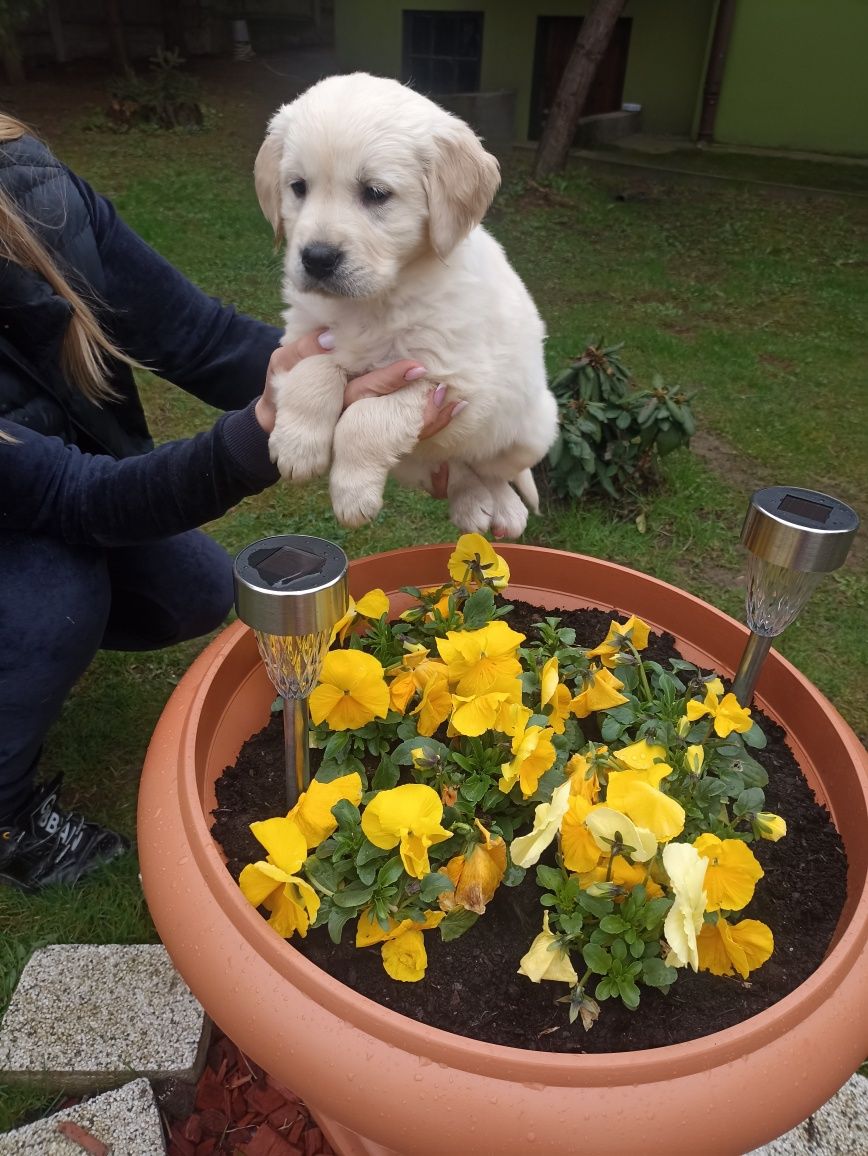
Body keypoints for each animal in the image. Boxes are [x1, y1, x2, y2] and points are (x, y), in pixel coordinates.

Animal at [254, 71, 559, 536]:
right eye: (298, 188)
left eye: (376, 192)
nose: (317, 258)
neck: (376, 299)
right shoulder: (305, 334)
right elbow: (315, 369)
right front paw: (297, 445)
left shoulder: (446, 379)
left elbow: (366, 419)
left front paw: (351, 493)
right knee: (458, 469)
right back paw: (472, 504)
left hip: (530, 426)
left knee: (488, 468)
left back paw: (504, 508)